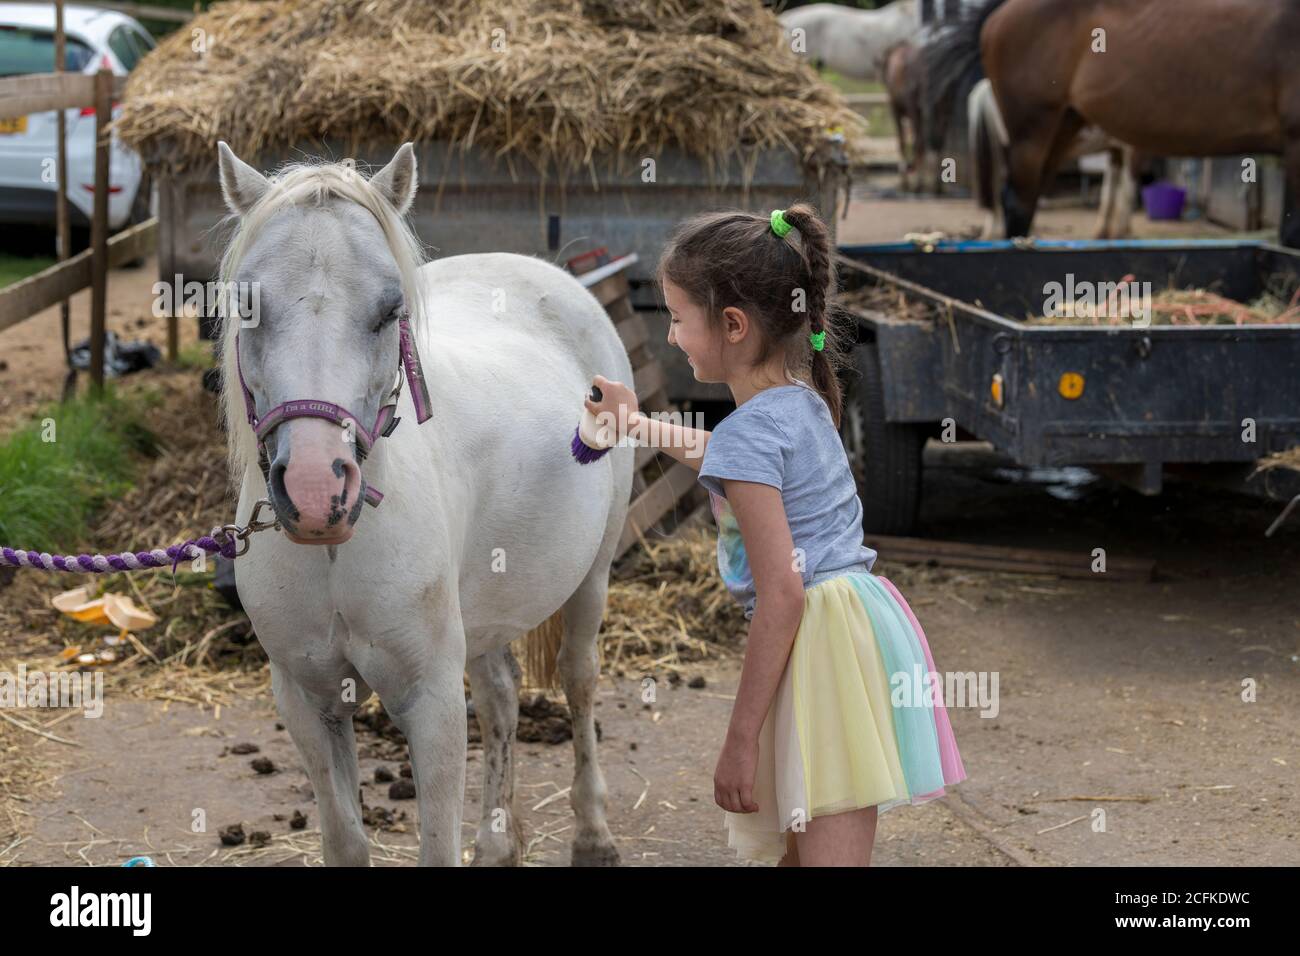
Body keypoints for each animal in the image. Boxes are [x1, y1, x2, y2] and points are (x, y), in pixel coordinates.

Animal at [213, 141, 634, 868]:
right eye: (247, 304)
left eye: (391, 310)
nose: (317, 493)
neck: (336, 556)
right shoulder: (308, 700)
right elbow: (346, 840)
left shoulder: (430, 702)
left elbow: (437, 842)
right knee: (500, 698)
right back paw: (498, 842)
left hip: (594, 577)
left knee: (578, 680)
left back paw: (592, 834)